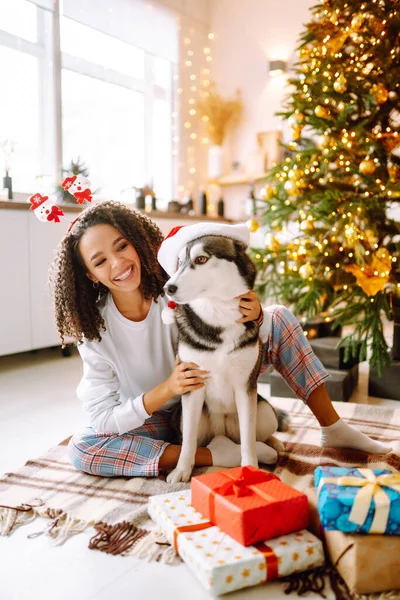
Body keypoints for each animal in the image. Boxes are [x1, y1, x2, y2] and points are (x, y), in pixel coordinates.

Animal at [158, 224, 286, 482]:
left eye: (201, 259)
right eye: (179, 262)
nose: (168, 288)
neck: (217, 312)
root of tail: (222, 430)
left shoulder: (245, 388)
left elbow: (248, 440)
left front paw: (251, 469)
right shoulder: (192, 384)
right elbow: (188, 443)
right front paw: (181, 471)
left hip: (264, 412)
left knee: (261, 433)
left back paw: (274, 444)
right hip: (187, 417)